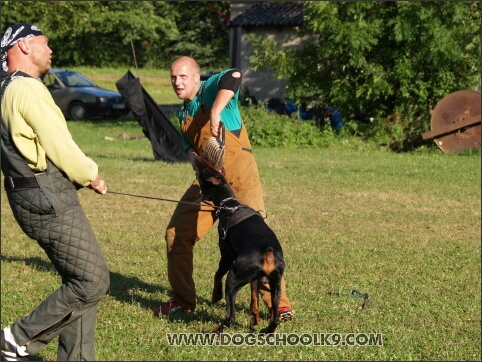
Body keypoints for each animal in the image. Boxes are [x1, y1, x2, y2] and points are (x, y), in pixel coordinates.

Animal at [192, 156, 284, 334]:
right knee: (275, 318)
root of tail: (268, 252)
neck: (229, 206)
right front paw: (254, 319)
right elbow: (254, 297)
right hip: (275, 284)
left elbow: (217, 275)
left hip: (233, 278)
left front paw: (215, 296)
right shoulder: (256, 278)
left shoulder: (227, 256)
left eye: (204, 171)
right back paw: (265, 330)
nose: (196, 156)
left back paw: (215, 330)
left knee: (231, 316)